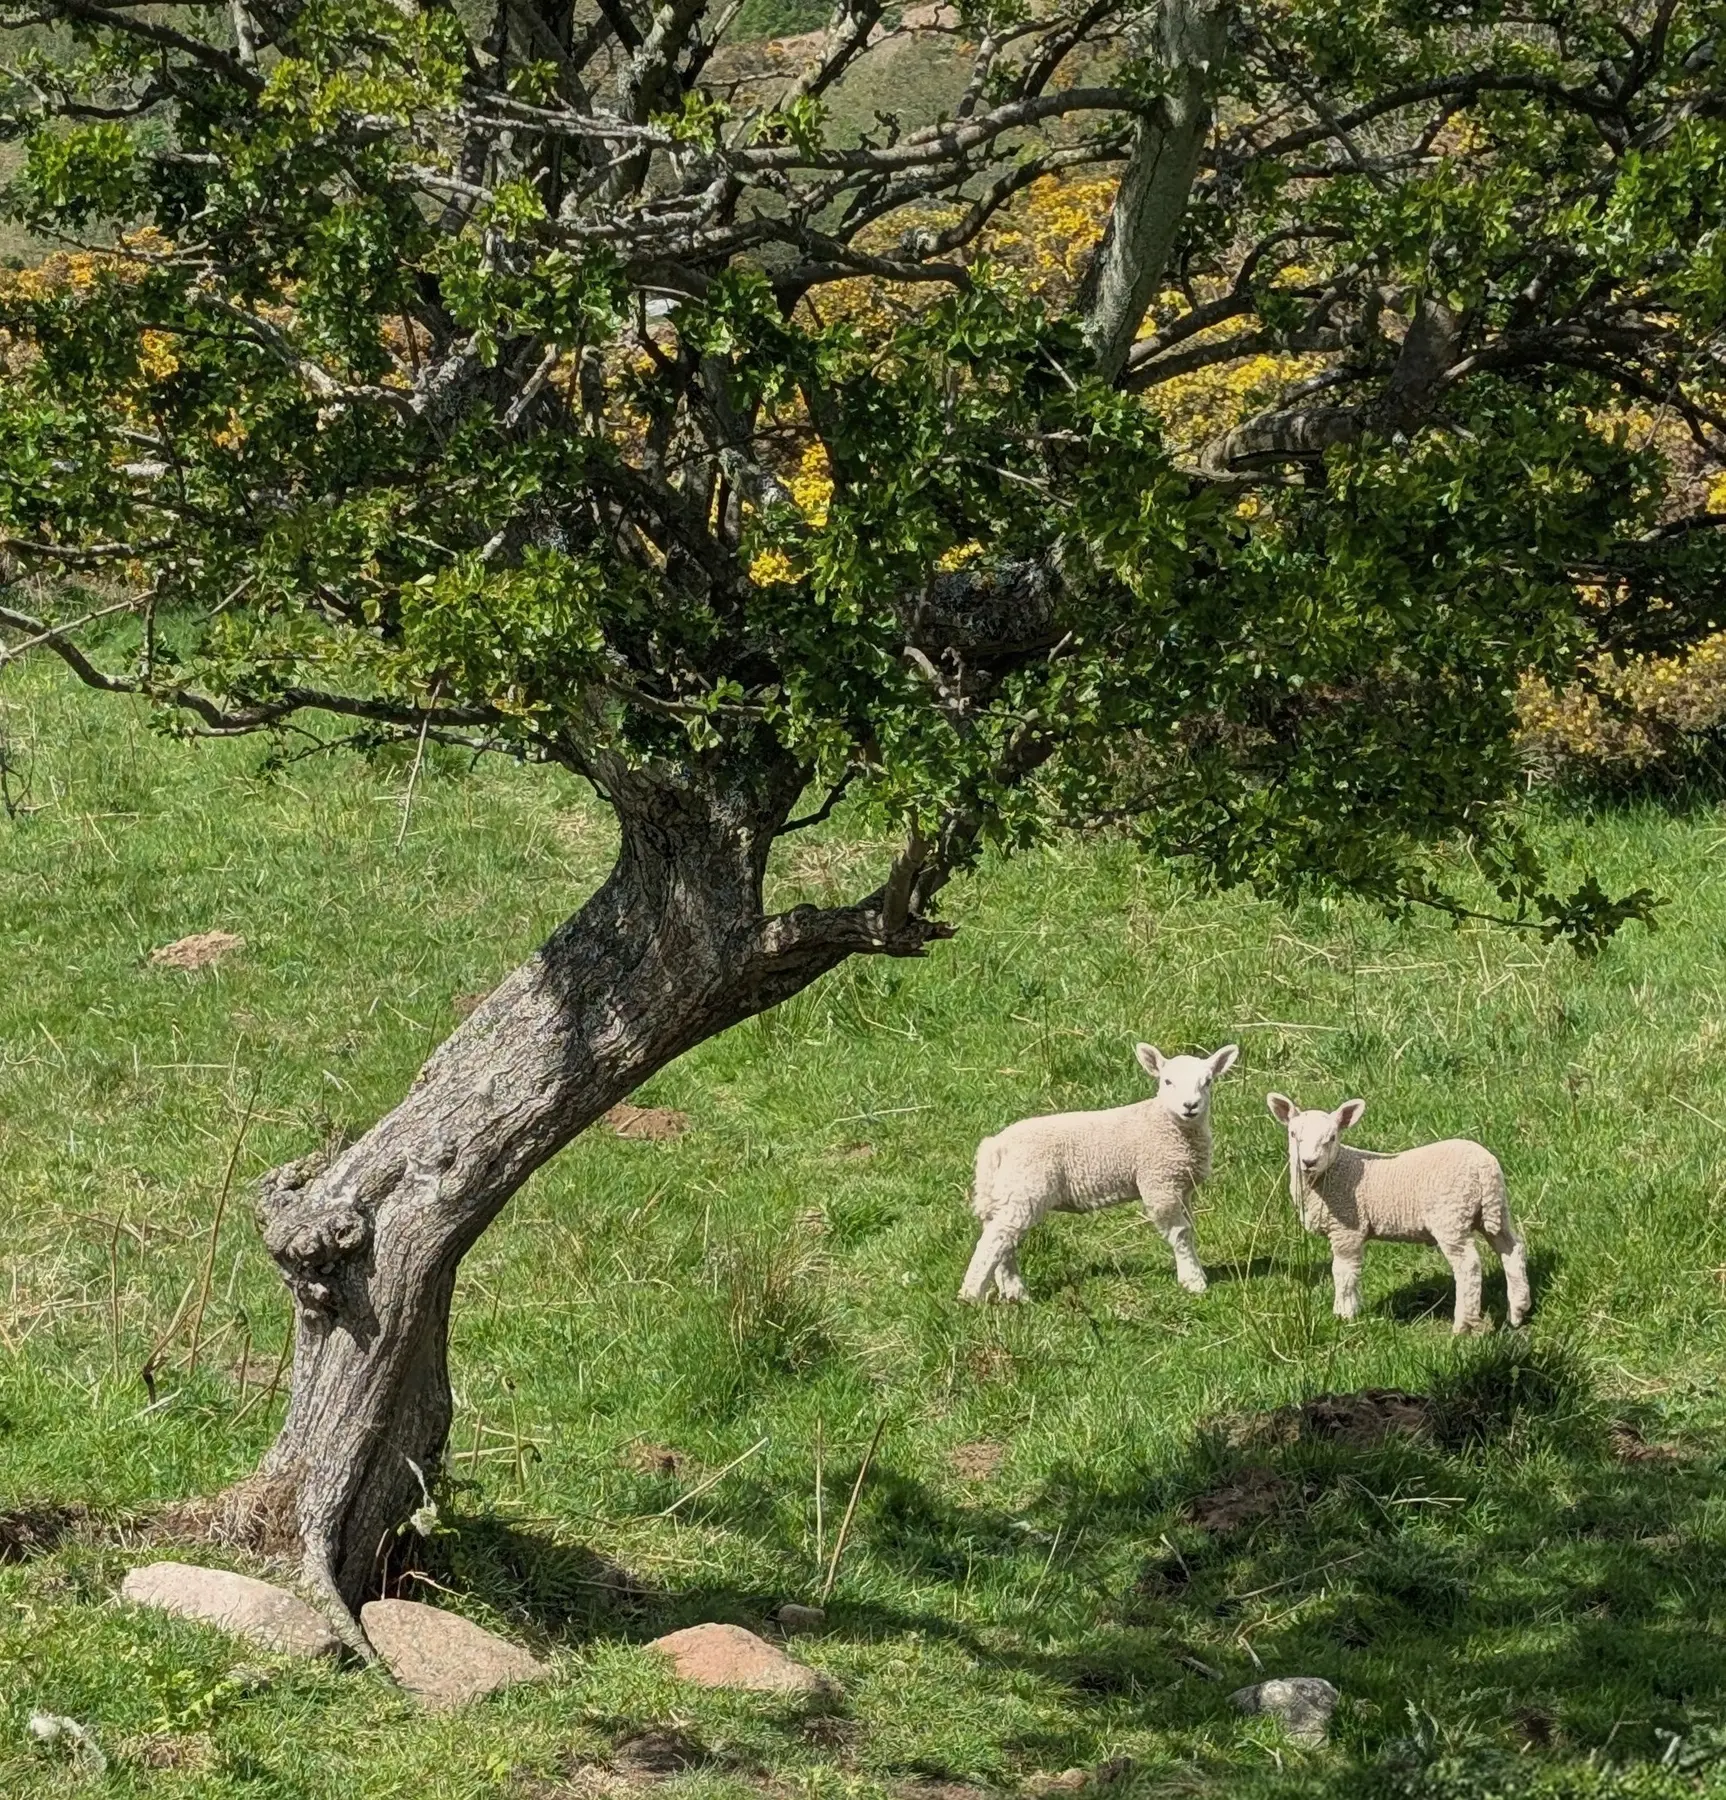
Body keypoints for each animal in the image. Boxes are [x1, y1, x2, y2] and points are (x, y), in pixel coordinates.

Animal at [959, 1043, 1239, 1303]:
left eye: (1207, 1081)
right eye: (1167, 1081)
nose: (1190, 1106)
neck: (1164, 1122)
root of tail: (996, 1145)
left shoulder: (1182, 1187)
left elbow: (1189, 1229)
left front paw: (1197, 1273)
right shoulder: (1159, 1185)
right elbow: (1180, 1233)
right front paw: (1193, 1281)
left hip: (1006, 1193)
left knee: (1002, 1240)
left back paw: (1015, 1293)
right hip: (1025, 1188)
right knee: (994, 1240)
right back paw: (971, 1296)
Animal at [1264, 1093, 1531, 1333]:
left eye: (1331, 1138)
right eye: (1293, 1134)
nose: (1308, 1162)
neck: (1333, 1175)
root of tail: (1484, 1166)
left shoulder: (1346, 1228)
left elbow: (1343, 1272)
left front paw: (1343, 1315)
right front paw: (1352, 1310)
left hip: (1451, 1216)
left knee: (1468, 1266)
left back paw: (1463, 1326)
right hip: (1493, 1210)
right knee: (1512, 1249)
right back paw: (1517, 1311)